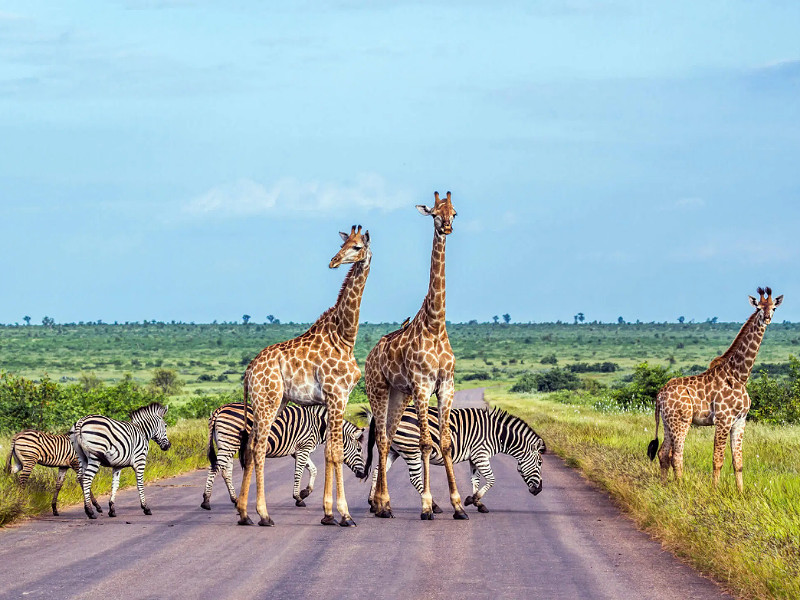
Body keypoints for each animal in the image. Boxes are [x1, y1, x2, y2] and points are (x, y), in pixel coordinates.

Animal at [205, 404, 370, 510]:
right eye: (359, 449)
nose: (363, 474)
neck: (318, 426)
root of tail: (219, 409)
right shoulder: (304, 448)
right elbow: (299, 472)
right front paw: (298, 497)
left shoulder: (298, 450)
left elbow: (314, 470)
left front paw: (305, 492)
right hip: (230, 442)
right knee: (215, 468)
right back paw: (206, 501)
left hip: (227, 444)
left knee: (225, 472)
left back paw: (235, 499)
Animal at [234, 224, 372, 524]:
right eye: (344, 245)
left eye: (357, 246)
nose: (333, 261)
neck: (345, 337)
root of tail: (249, 372)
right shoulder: (338, 395)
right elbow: (335, 451)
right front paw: (343, 514)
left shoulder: (334, 400)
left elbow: (329, 452)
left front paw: (328, 513)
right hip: (268, 400)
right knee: (258, 447)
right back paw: (263, 514)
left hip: (274, 402)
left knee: (250, 446)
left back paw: (243, 512)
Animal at [364, 191, 468, 520]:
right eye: (434, 213)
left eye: (454, 212)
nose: (446, 227)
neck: (435, 325)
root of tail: (370, 356)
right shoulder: (423, 386)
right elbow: (424, 443)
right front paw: (426, 505)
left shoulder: (446, 385)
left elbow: (444, 443)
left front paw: (458, 505)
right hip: (378, 389)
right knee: (382, 439)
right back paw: (383, 503)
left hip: (400, 394)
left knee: (387, 437)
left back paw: (382, 504)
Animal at [366, 406, 548, 512]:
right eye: (540, 463)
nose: (539, 490)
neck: (497, 435)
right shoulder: (481, 454)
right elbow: (491, 479)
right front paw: (472, 500)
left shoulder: (474, 457)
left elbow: (475, 480)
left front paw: (477, 503)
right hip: (411, 449)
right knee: (414, 478)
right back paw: (434, 506)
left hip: (393, 450)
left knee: (378, 471)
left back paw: (373, 503)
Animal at [648, 286, 784, 492]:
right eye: (759, 308)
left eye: (774, 308)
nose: (767, 318)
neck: (739, 376)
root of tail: (660, 395)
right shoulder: (723, 420)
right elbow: (718, 460)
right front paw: (715, 490)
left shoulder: (740, 421)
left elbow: (738, 461)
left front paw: (740, 493)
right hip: (682, 421)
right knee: (676, 455)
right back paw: (680, 487)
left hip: (667, 421)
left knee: (664, 452)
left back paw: (665, 485)